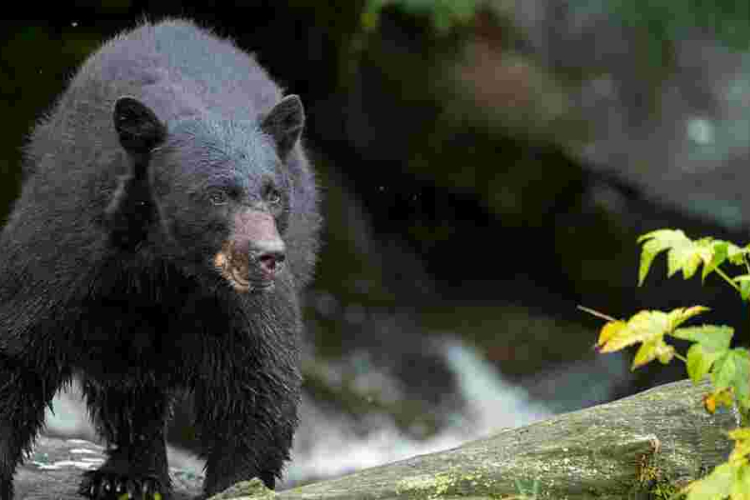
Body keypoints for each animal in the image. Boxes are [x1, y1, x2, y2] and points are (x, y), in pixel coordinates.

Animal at [0, 18, 320, 500]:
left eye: (274, 193)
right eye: (216, 195)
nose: (267, 256)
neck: (167, 266)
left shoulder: (241, 306)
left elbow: (258, 385)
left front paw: (233, 484)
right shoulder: (66, 254)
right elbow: (16, 351)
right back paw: (127, 476)